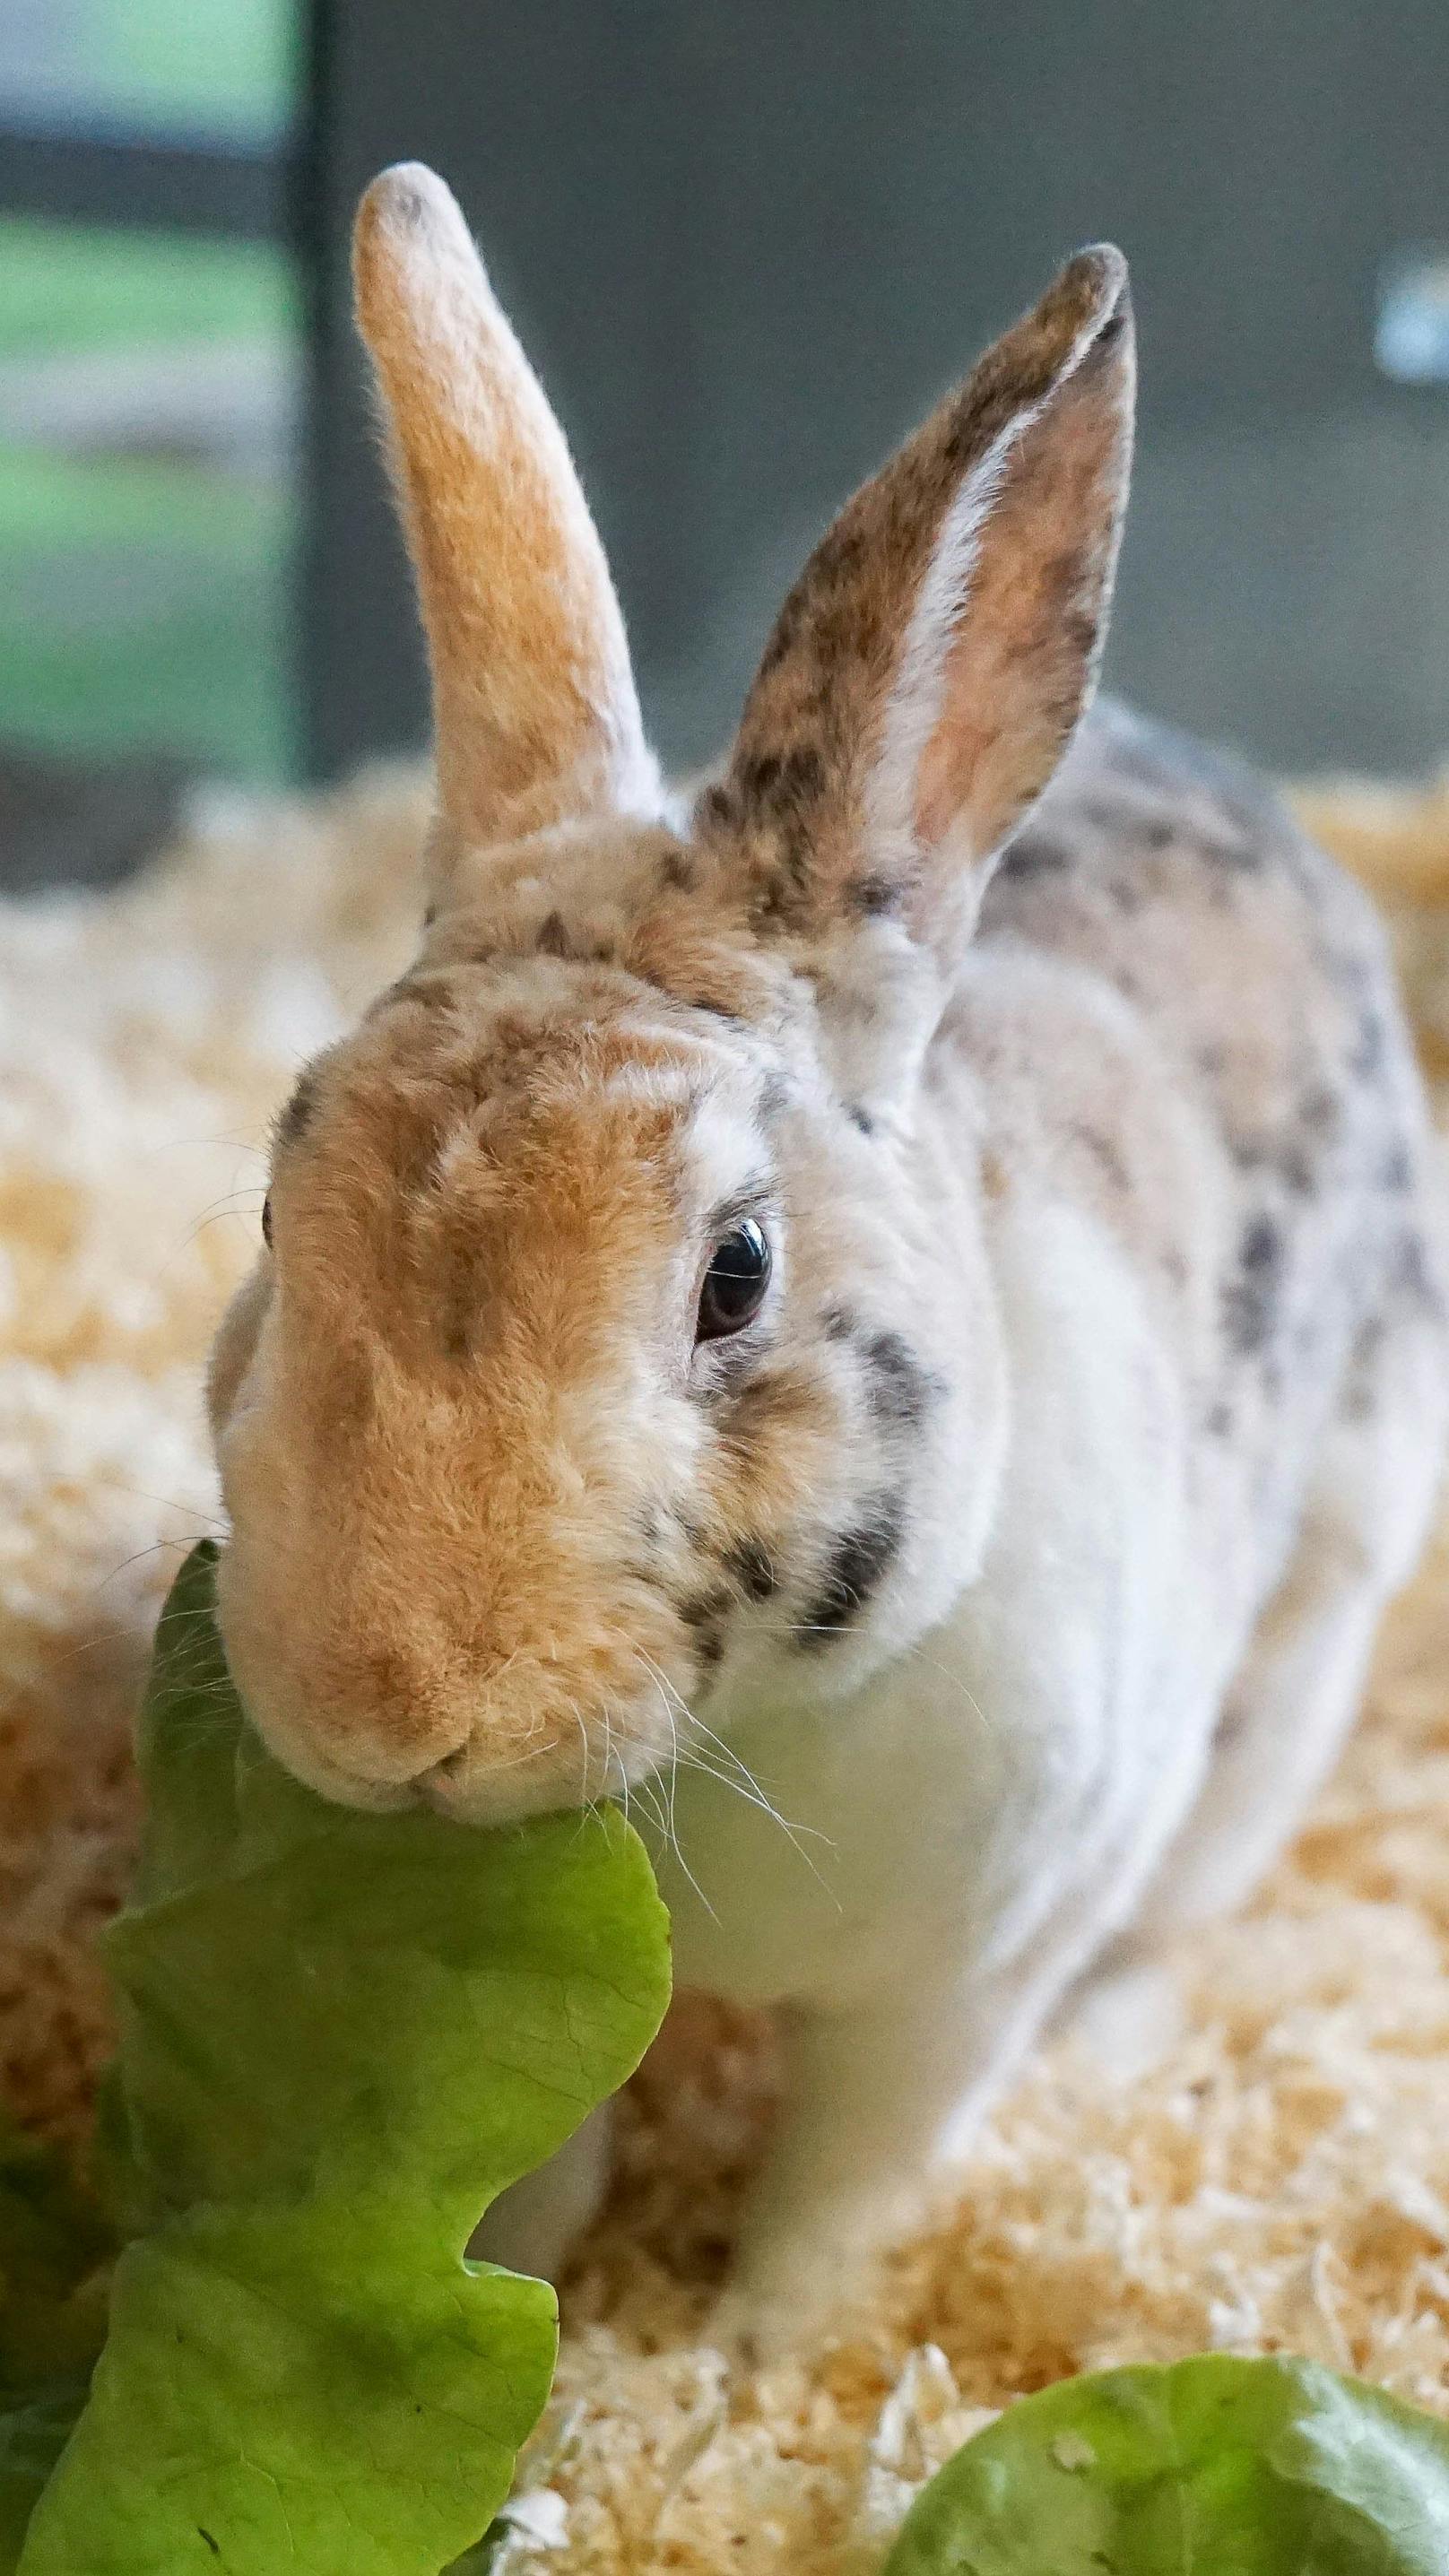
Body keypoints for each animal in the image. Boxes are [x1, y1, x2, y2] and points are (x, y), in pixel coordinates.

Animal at [206, 166, 1444, 2359]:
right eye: (280, 1202)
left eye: (733, 1272)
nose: (386, 1706)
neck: (744, 1745)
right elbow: (538, 2163)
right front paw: (547, 2314)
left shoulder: (954, 1988)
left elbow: (847, 2180)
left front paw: (755, 2343)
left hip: (1312, 1622)